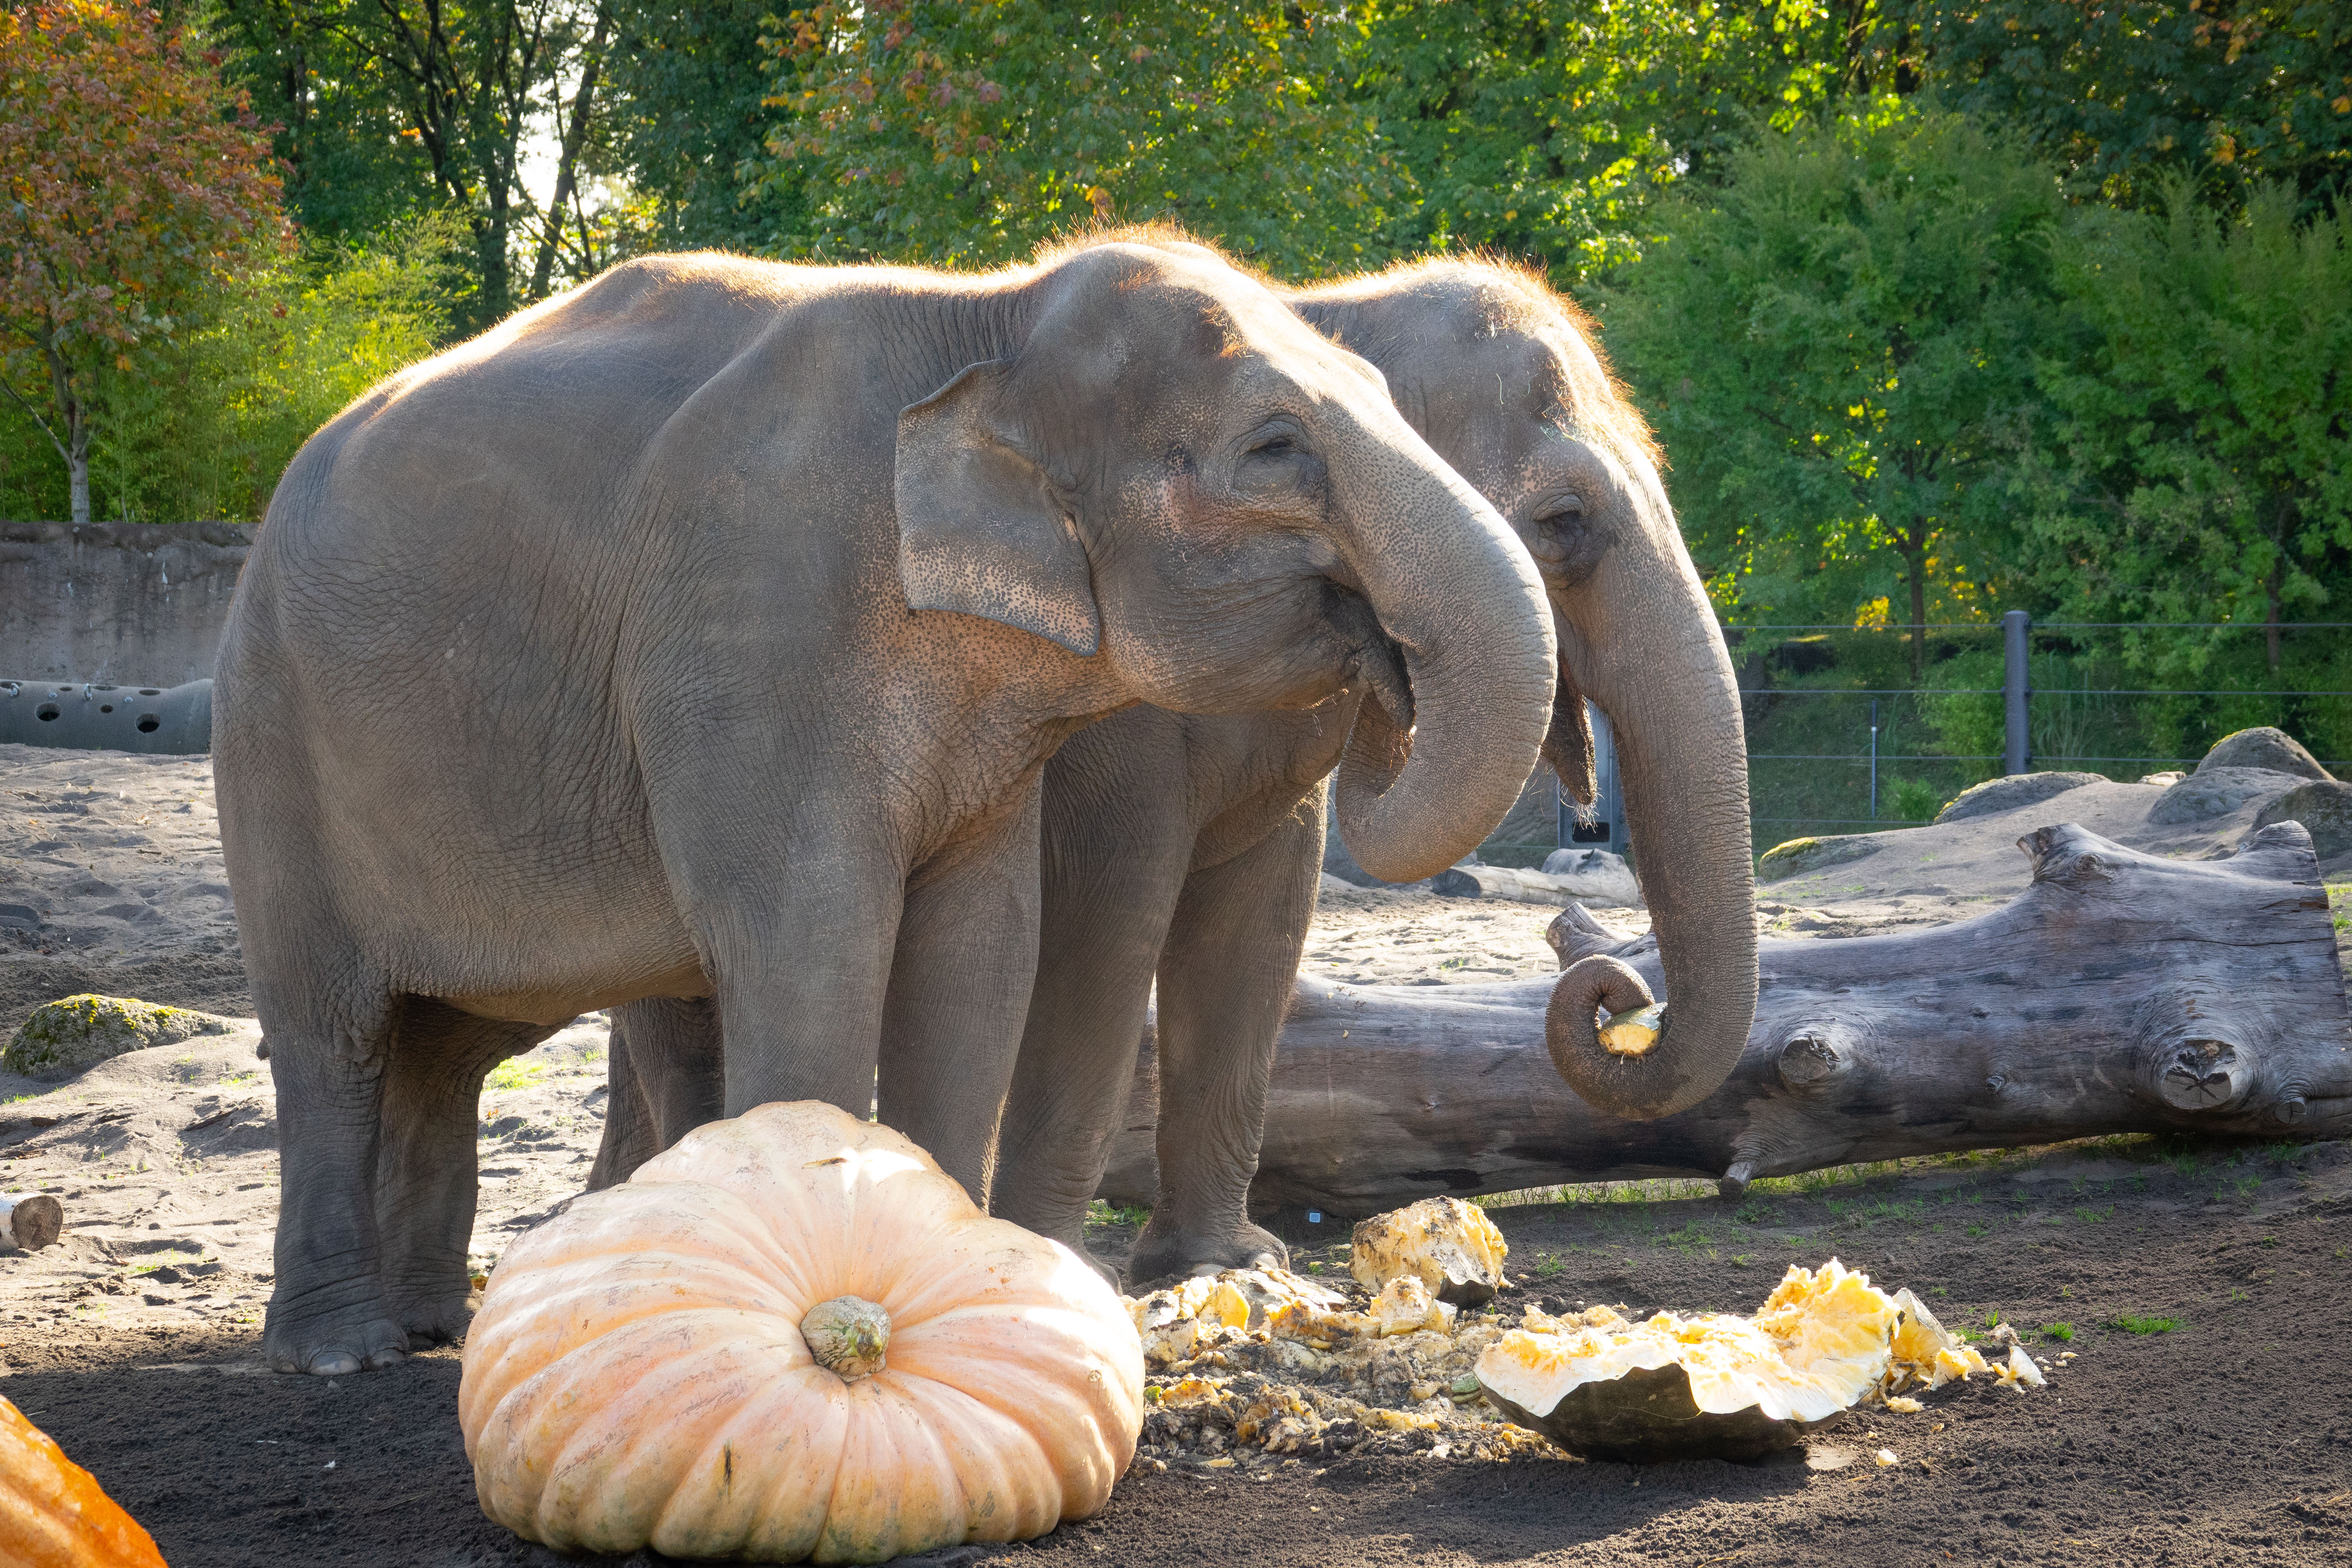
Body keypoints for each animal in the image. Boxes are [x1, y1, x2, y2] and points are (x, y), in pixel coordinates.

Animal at [212, 238, 1560, 1375]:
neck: (986, 317)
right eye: (1276, 448)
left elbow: (977, 959)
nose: (1385, 665)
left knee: (443, 1048)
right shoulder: (753, 627)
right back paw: (339, 1354)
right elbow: (815, 942)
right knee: (332, 1038)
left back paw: (433, 1330)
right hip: (272, 744)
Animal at [590, 245, 1758, 1287]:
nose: (1609, 991)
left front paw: (1231, 1271)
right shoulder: (1121, 727)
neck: (1327, 306)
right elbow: (1113, 920)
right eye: (1565, 522)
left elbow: (1260, 918)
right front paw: (1063, 1270)